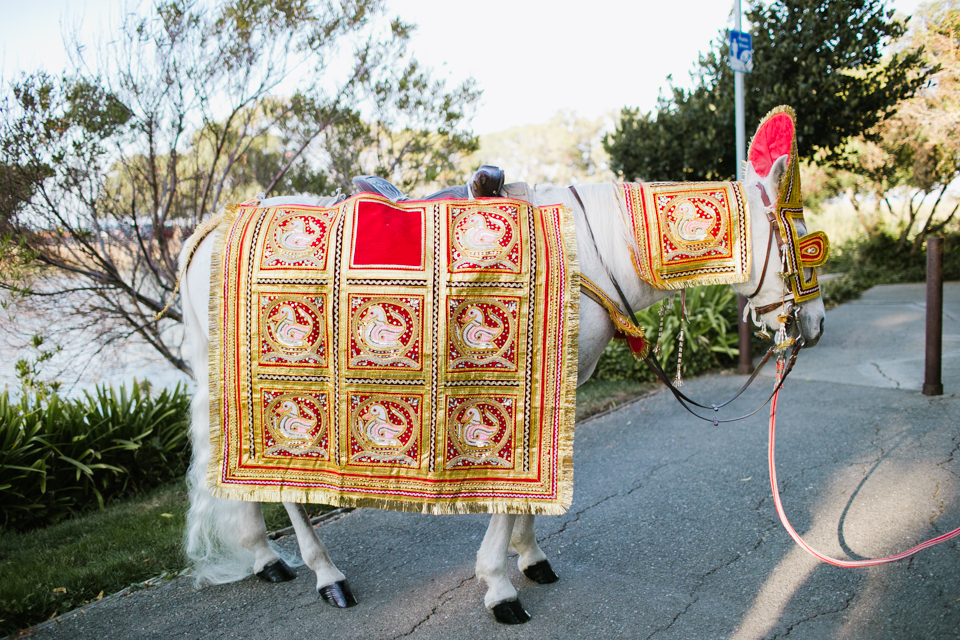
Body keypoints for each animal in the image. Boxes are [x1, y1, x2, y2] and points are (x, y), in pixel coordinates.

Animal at [180, 155, 824, 624]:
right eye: (800, 243)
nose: (814, 325)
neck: (590, 254)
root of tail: (215, 223)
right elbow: (508, 497)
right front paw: (499, 586)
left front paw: (529, 556)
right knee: (285, 485)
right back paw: (325, 574)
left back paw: (267, 557)